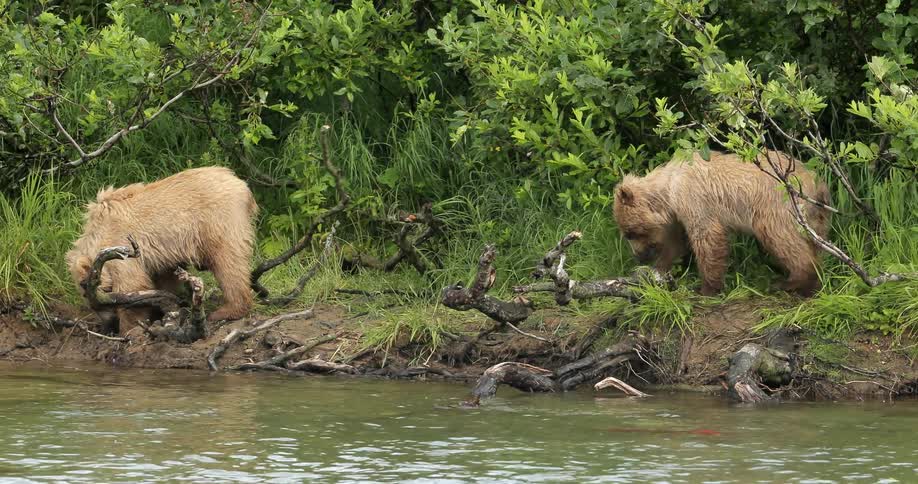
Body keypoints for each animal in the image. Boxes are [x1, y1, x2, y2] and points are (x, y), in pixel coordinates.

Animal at [66, 166, 258, 334]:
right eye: (84, 294)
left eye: (87, 290)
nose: (109, 325)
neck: (97, 232)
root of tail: (242, 185)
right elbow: (165, 279)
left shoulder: (122, 246)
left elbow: (132, 285)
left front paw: (129, 328)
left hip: (218, 221)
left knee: (228, 262)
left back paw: (227, 310)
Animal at [612, 149, 832, 297]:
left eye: (631, 232)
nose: (639, 255)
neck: (669, 190)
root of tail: (816, 183)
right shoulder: (678, 216)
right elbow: (675, 244)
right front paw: (657, 270)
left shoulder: (694, 200)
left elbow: (707, 237)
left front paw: (706, 288)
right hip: (817, 216)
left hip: (777, 204)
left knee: (780, 236)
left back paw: (790, 282)